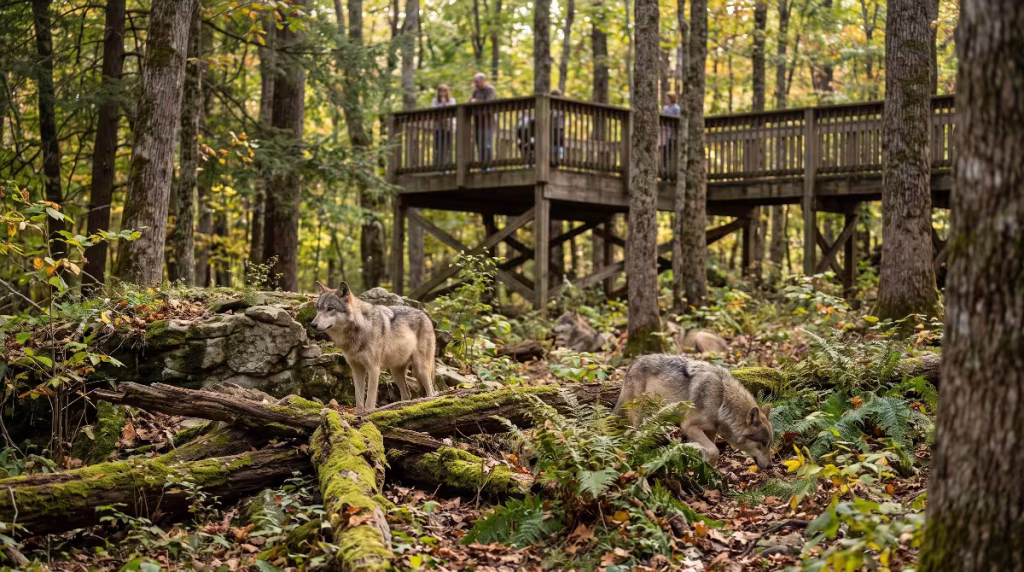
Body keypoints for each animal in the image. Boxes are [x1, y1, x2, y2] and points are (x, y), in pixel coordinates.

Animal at [312, 282, 436, 414]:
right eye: (318, 308)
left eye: (330, 308)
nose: (312, 324)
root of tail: (425, 315)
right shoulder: (356, 370)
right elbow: (358, 397)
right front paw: (358, 414)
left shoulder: (374, 369)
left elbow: (370, 399)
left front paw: (369, 413)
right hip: (396, 373)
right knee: (407, 394)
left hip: (420, 369)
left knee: (431, 392)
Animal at [614, 355, 773, 469]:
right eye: (763, 443)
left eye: (769, 443)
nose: (771, 467)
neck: (722, 399)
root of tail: (633, 363)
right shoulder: (688, 426)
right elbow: (715, 451)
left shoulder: (710, 431)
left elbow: (709, 451)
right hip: (640, 415)